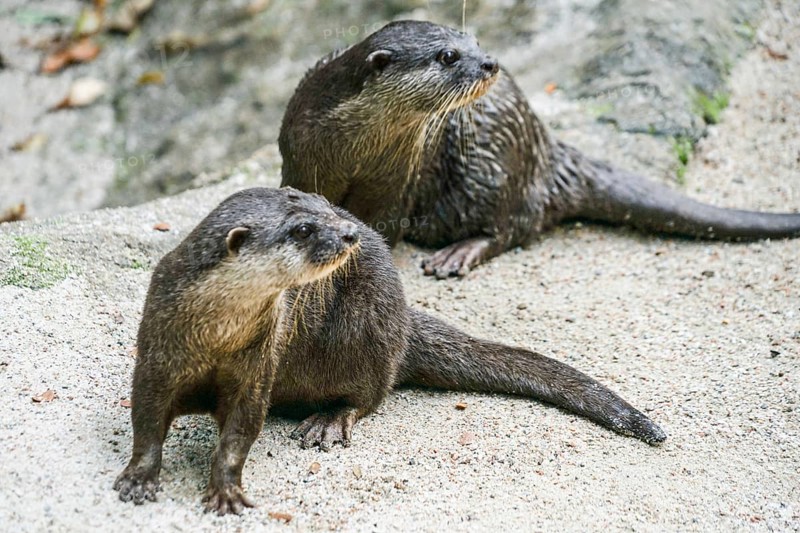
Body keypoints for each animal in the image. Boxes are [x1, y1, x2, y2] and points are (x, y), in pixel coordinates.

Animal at [114, 187, 665, 515]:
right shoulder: (157, 355)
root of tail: (402, 313)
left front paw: (226, 490)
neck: (214, 338)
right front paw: (138, 479)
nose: (349, 232)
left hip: (366, 333)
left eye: (323, 208)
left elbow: (238, 434)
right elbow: (147, 421)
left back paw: (328, 422)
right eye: (303, 230)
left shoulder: (256, 370)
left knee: (371, 394)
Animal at [279, 20, 800, 278]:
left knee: (514, 226)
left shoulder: (398, 180)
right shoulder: (301, 156)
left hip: (494, 164)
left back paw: (456, 254)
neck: (353, 146)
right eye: (448, 55)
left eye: (474, 39)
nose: (490, 62)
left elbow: (383, 225)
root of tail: (546, 152)